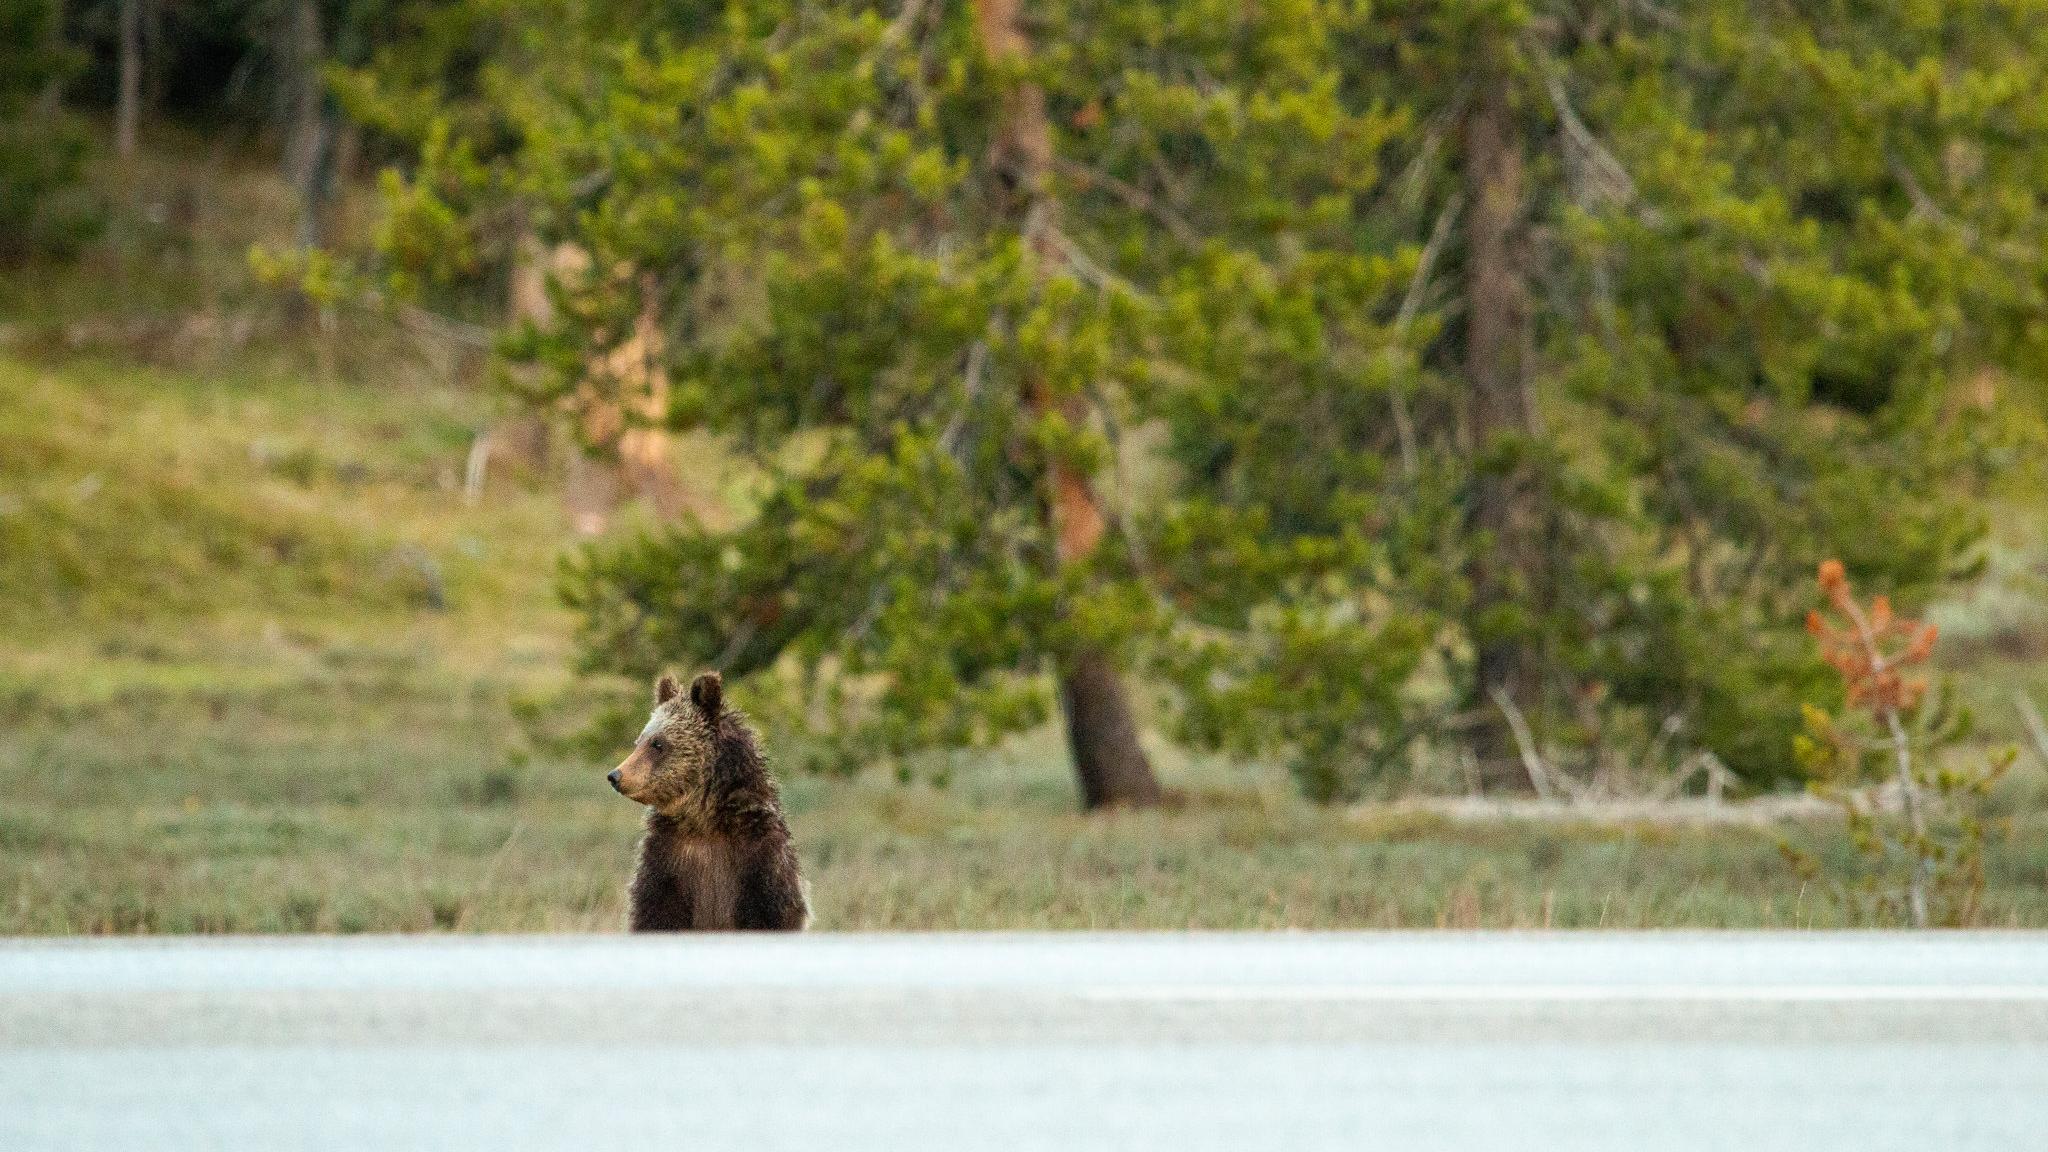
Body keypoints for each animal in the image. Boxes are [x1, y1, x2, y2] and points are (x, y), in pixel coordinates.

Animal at [607, 671, 809, 931]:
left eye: (658, 743)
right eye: (639, 741)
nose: (616, 775)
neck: (705, 821)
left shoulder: (760, 859)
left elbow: (772, 912)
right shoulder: (666, 860)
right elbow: (654, 913)